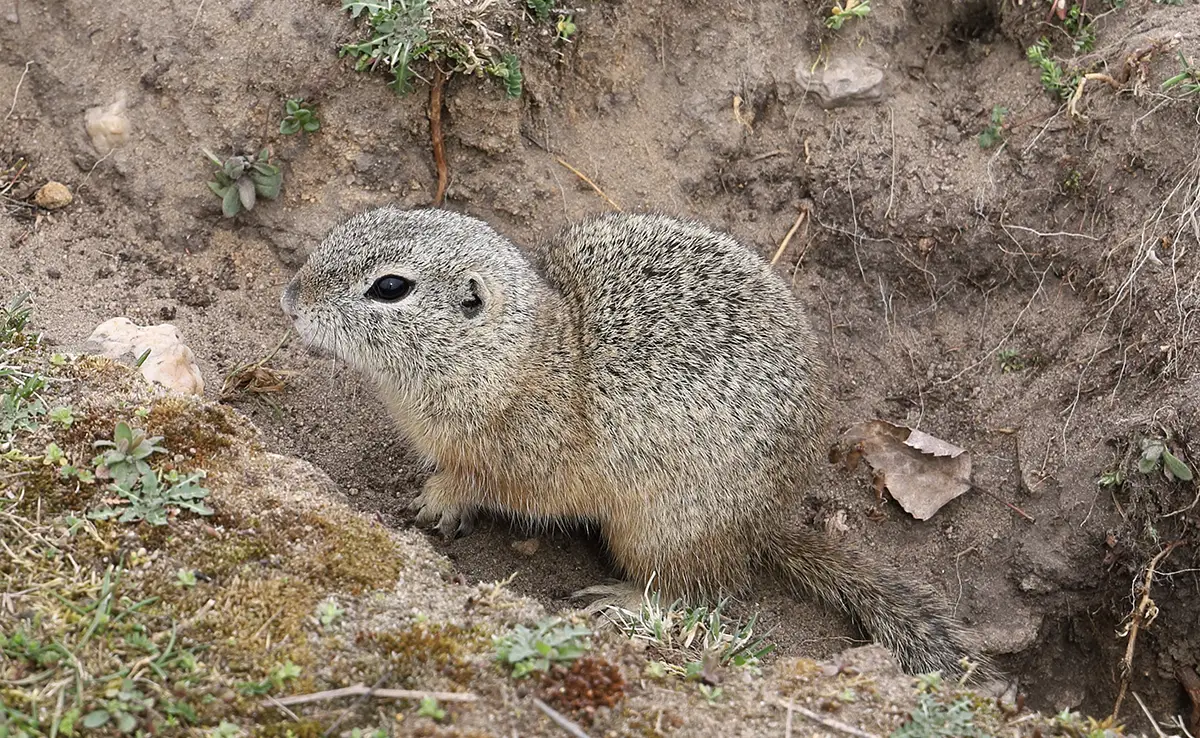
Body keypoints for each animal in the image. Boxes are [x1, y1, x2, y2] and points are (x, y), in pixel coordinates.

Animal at [283, 205, 993, 676]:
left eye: (390, 288)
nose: (291, 298)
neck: (533, 351)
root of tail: (769, 524)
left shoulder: (519, 456)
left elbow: (481, 482)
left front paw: (438, 501)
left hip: (659, 528)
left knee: (698, 589)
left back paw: (620, 600)